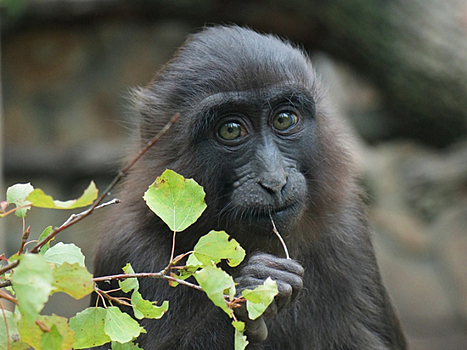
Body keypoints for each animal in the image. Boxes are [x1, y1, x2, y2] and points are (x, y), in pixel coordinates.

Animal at [91, 26, 406, 348]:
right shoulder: (128, 251)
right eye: (231, 130)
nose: (274, 182)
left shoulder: (348, 233)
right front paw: (252, 293)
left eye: (284, 119)